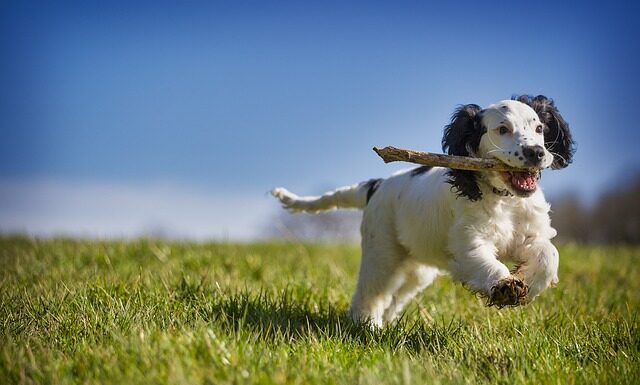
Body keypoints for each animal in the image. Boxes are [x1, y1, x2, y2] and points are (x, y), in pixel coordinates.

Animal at [270, 94, 576, 326]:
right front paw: (504, 286)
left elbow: (549, 255)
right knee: (370, 292)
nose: (537, 153)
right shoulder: (468, 241)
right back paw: (367, 325)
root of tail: (377, 185)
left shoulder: (531, 234)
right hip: (382, 252)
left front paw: (528, 283)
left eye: (539, 129)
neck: (505, 199)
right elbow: (485, 262)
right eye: (502, 130)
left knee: (395, 296)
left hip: (417, 269)